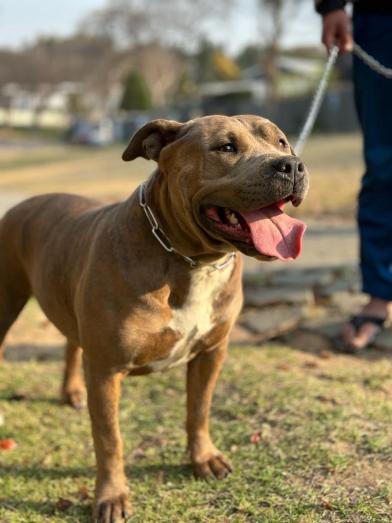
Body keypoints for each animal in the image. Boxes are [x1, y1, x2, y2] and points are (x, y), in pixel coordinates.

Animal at [0, 116, 308, 520]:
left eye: (282, 142)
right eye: (226, 147)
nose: (292, 165)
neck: (190, 260)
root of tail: (25, 203)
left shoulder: (212, 352)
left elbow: (199, 409)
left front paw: (203, 459)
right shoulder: (106, 369)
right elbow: (109, 439)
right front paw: (112, 496)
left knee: (70, 343)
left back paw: (71, 392)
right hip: (6, 301)